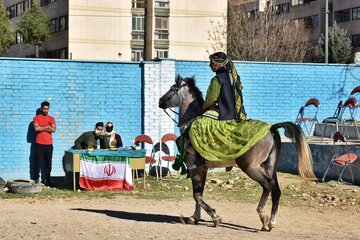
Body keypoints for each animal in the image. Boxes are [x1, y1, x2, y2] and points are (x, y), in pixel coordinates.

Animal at [158, 76, 316, 232]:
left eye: (172, 89)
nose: (160, 101)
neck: (190, 123)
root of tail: (271, 128)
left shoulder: (193, 167)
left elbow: (196, 195)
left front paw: (215, 217)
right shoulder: (202, 168)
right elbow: (199, 194)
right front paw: (195, 217)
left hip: (250, 167)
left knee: (268, 185)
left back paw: (263, 217)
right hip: (269, 166)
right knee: (276, 190)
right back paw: (271, 222)